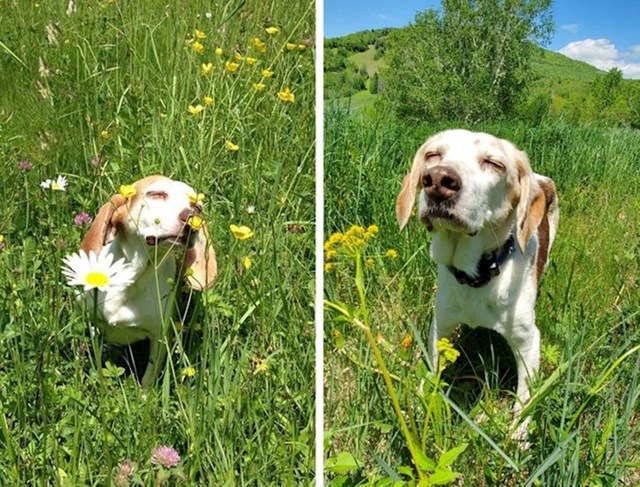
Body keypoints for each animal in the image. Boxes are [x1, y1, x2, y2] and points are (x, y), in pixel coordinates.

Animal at [78, 175, 215, 386]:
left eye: (197, 207)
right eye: (157, 194)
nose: (192, 218)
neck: (132, 277)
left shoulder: (159, 338)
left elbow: (148, 378)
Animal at [398, 130, 556, 438]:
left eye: (494, 163)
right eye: (432, 155)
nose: (438, 180)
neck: (476, 277)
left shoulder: (528, 342)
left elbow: (524, 400)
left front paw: (517, 438)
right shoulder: (441, 325)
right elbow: (431, 371)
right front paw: (422, 407)